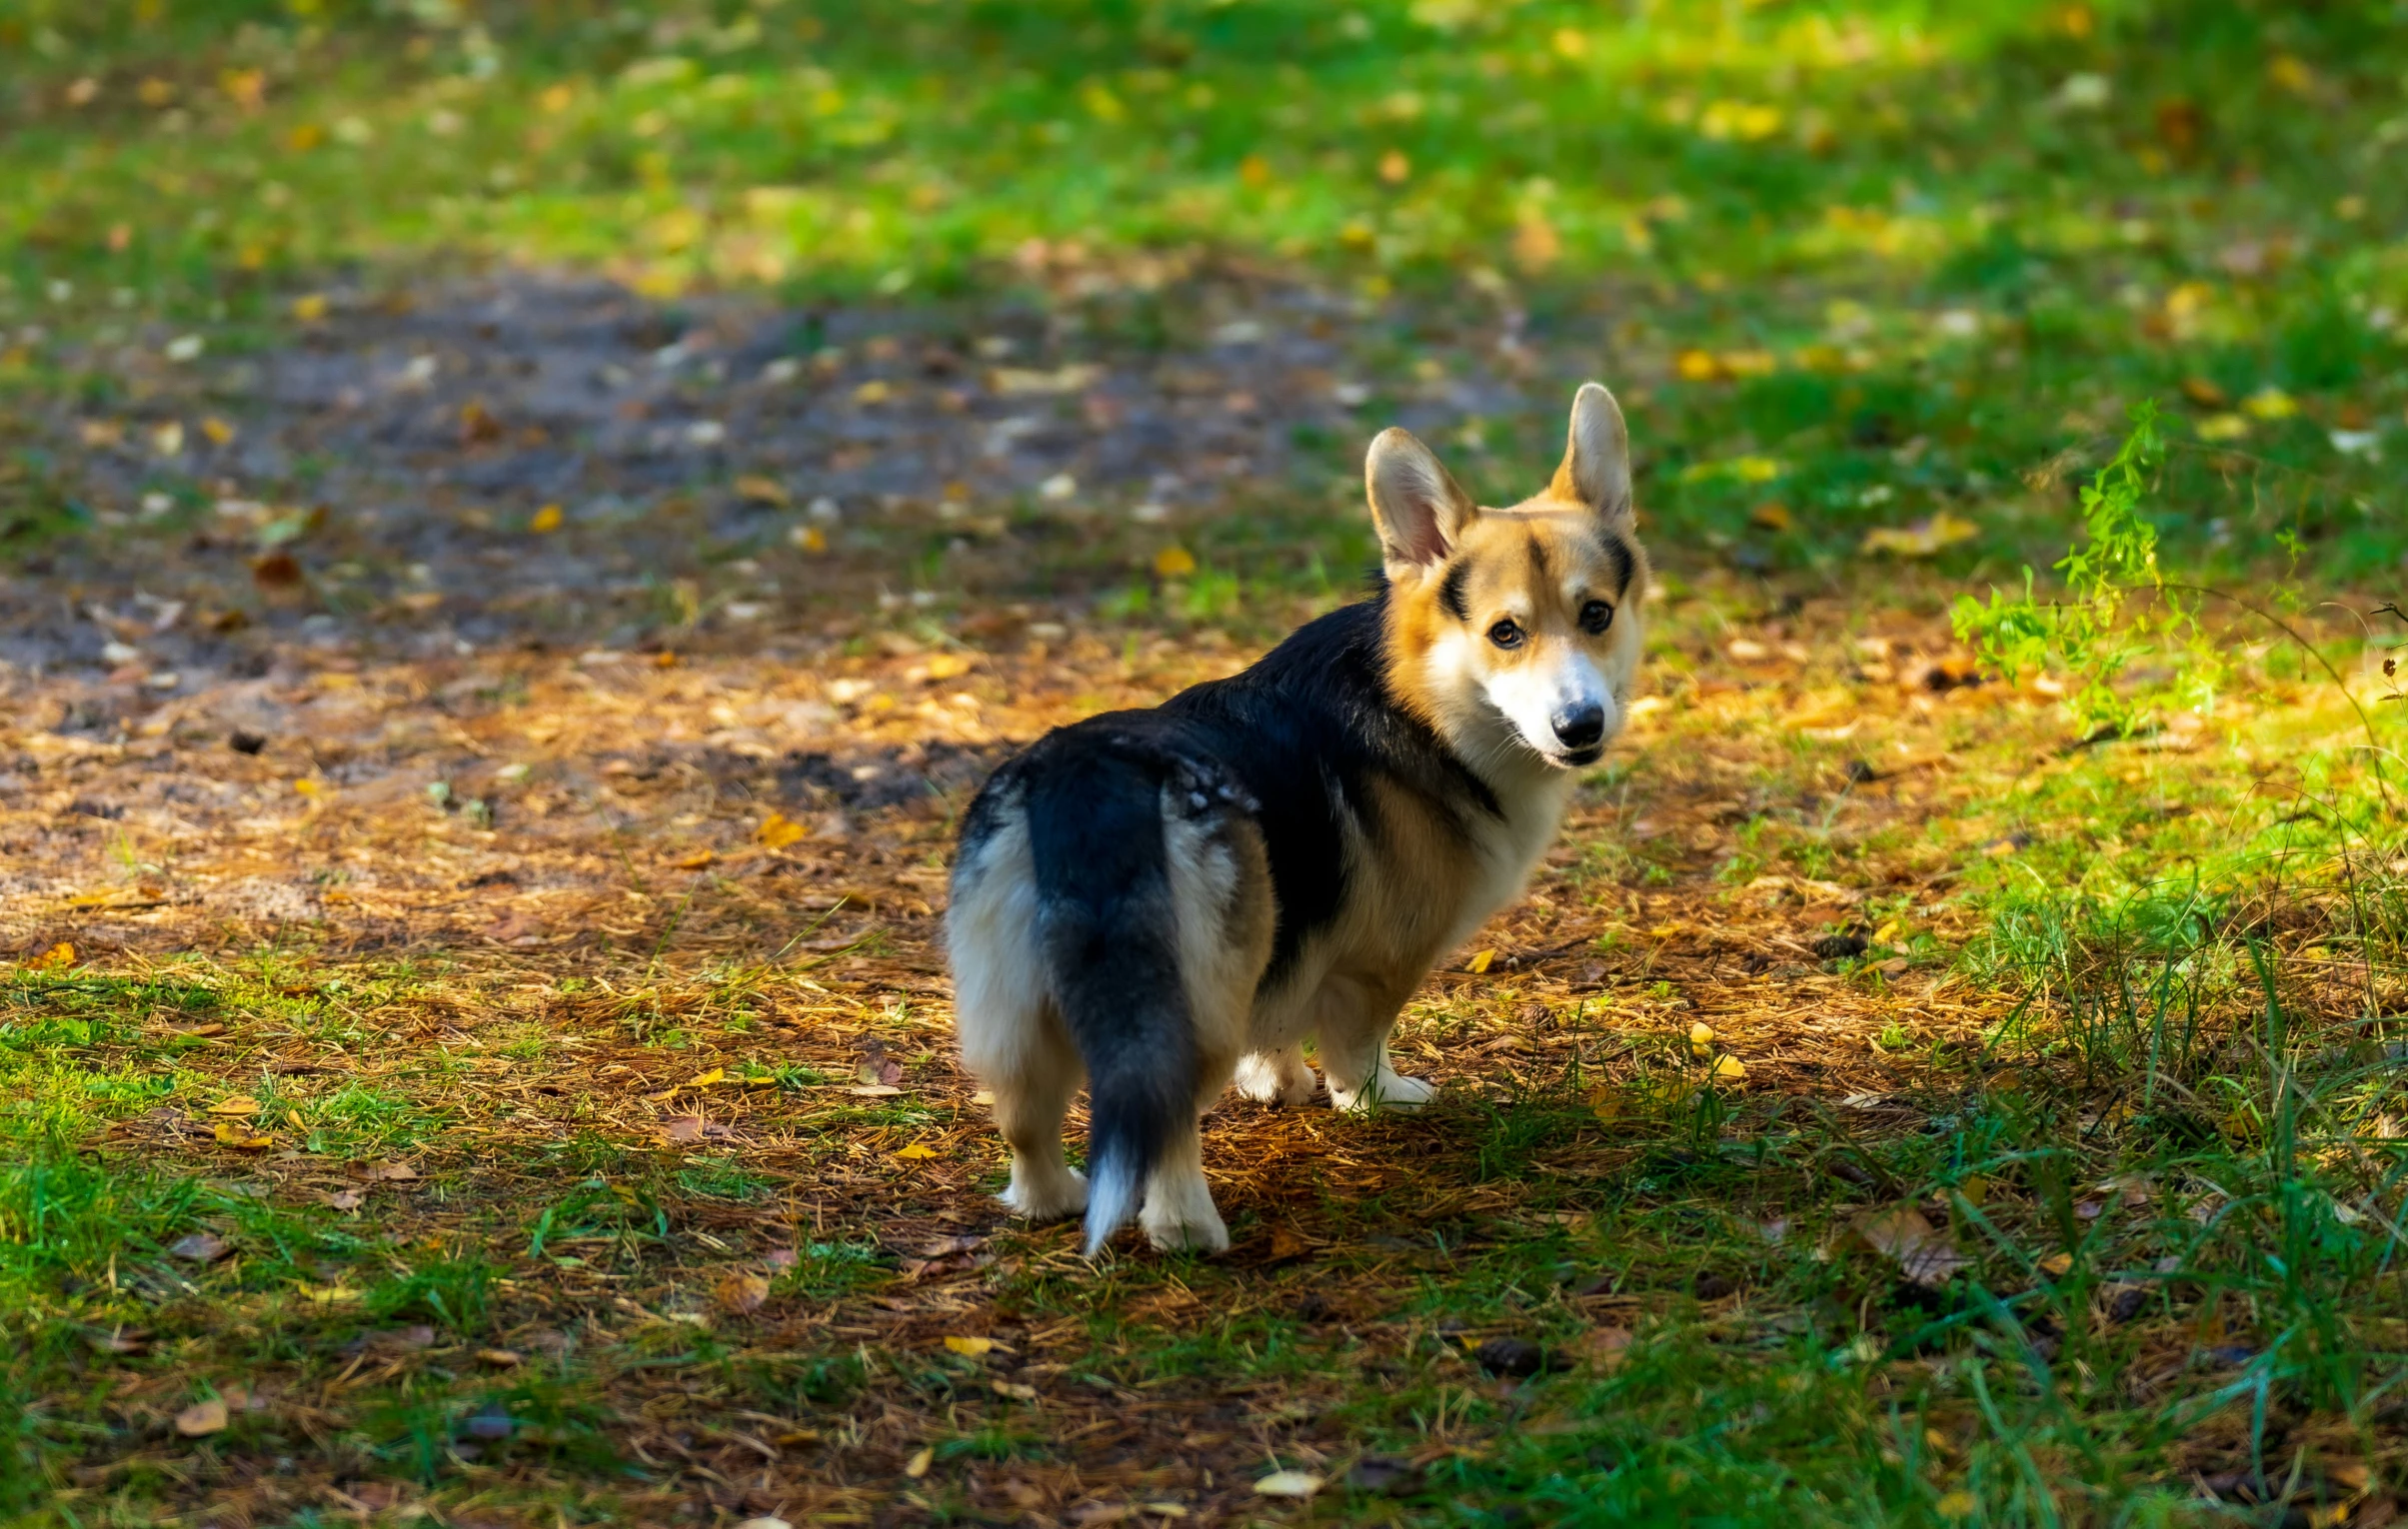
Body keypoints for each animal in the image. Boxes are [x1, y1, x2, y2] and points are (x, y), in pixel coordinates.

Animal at [949, 385, 1646, 1251]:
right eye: (1504, 633)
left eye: (1596, 615)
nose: (1581, 727)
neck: (1421, 701)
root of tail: (1091, 785)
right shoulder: (1379, 961)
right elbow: (1359, 1041)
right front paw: (1374, 1098)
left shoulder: (1299, 932)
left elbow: (1279, 1019)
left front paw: (1276, 1081)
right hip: (1189, 1004)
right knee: (1165, 1125)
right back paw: (1186, 1229)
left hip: (1012, 1009)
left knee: (1024, 1119)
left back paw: (1050, 1198)